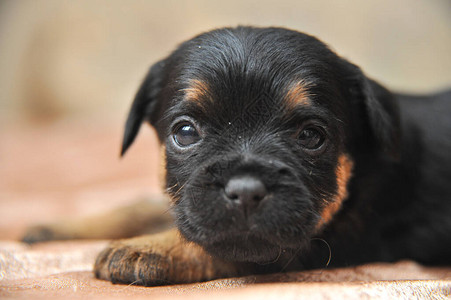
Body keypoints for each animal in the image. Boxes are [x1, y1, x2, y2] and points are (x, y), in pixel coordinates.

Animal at [28, 26, 451, 286]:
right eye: (185, 132)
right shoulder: (188, 200)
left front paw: (151, 247)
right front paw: (58, 227)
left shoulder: (315, 243)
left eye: (311, 136)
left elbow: (216, 245)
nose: (246, 191)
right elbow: (144, 206)